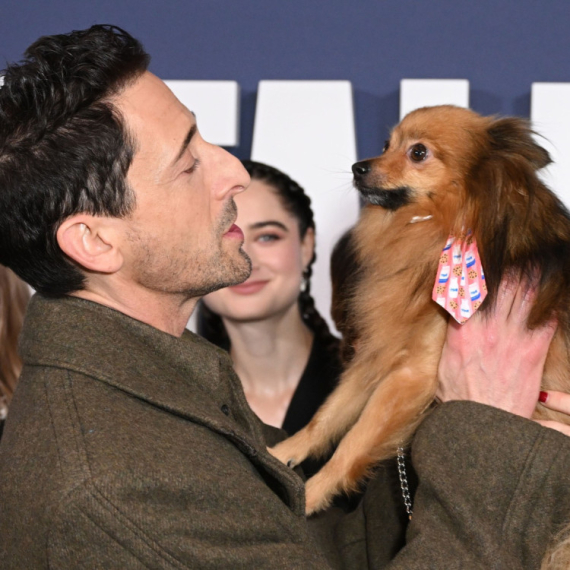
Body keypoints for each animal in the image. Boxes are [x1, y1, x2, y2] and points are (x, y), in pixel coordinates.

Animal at [270, 105, 570, 518]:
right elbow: (328, 415)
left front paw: (312, 494)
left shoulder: (413, 373)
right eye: (386, 144)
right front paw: (282, 453)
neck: (439, 229)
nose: (358, 167)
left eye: (418, 152)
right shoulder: (382, 352)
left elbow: (353, 442)